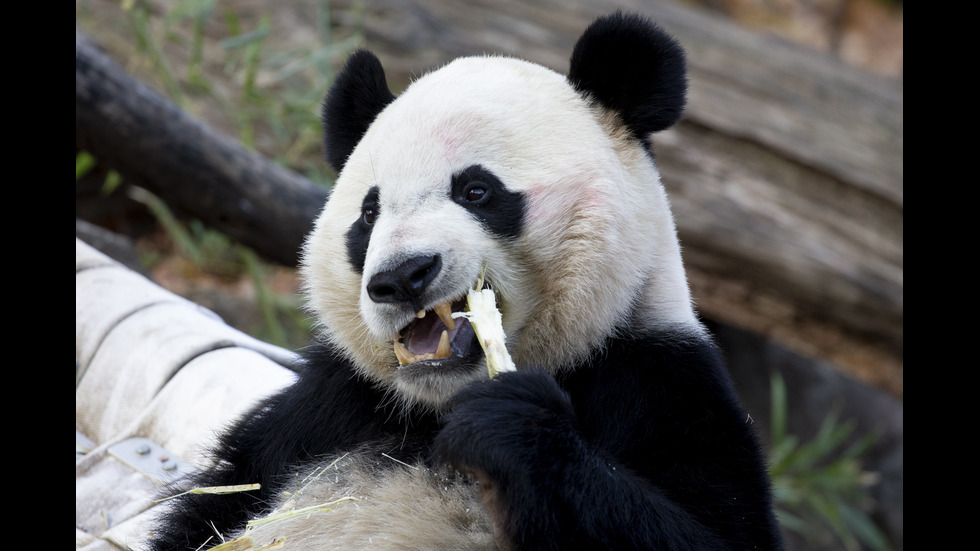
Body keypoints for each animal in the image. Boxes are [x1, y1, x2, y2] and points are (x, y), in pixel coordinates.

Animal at [147, 9, 780, 551]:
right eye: (369, 213)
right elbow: (225, 497)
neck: (438, 405)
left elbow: (719, 530)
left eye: (476, 190)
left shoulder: (657, 377)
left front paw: (508, 424)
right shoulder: (330, 409)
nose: (402, 276)